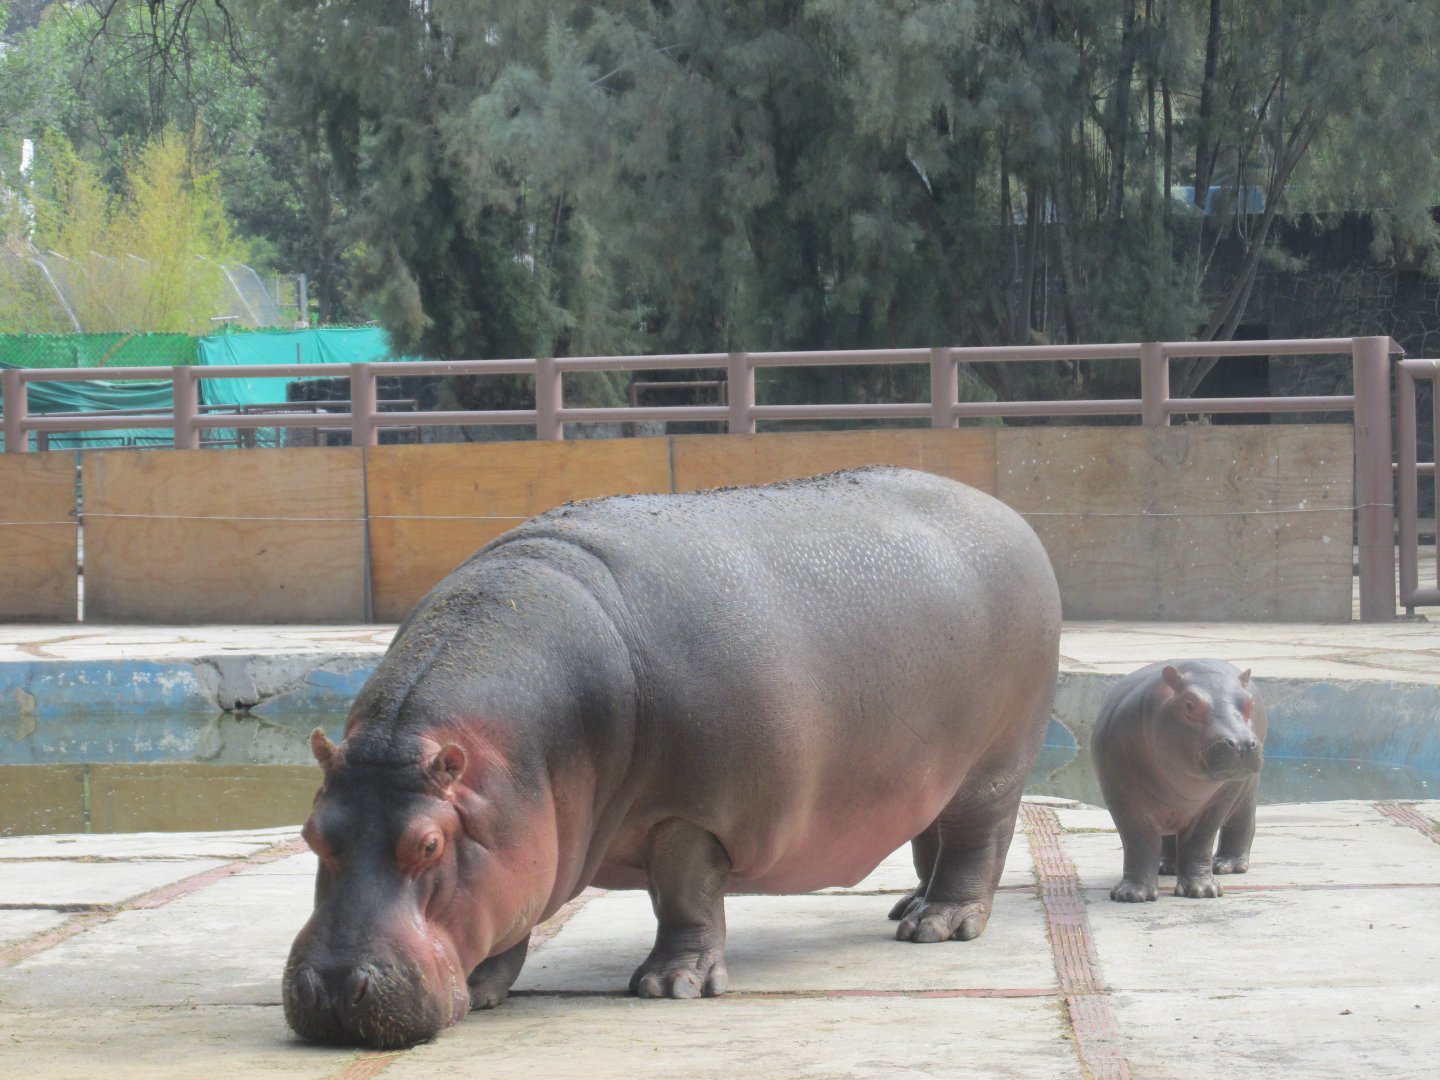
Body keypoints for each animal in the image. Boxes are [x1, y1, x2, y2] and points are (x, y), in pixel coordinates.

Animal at [282, 465, 1061, 1048]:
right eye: (313, 834)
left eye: (429, 844)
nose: (331, 990)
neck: (519, 758)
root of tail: (1009, 514)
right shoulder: (523, 829)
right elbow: (515, 901)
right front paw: (482, 986)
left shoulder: (691, 813)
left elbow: (685, 895)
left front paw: (669, 986)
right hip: (934, 768)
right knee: (933, 832)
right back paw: (909, 905)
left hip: (992, 765)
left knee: (976, 842)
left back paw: (937, 927)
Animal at [1092, 660, 1266, 903]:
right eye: (1189, 704)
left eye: (1249, 703)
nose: (1241, 743)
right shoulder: (1123, 799)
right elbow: (1138, 842)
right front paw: (1131, 894)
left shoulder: (1216, 804)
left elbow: (1199, 843)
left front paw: (1204, 891)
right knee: (1168, 838)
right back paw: (1166, 867)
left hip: (1245, 789)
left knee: (1241, 823)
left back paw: (1227, 866)